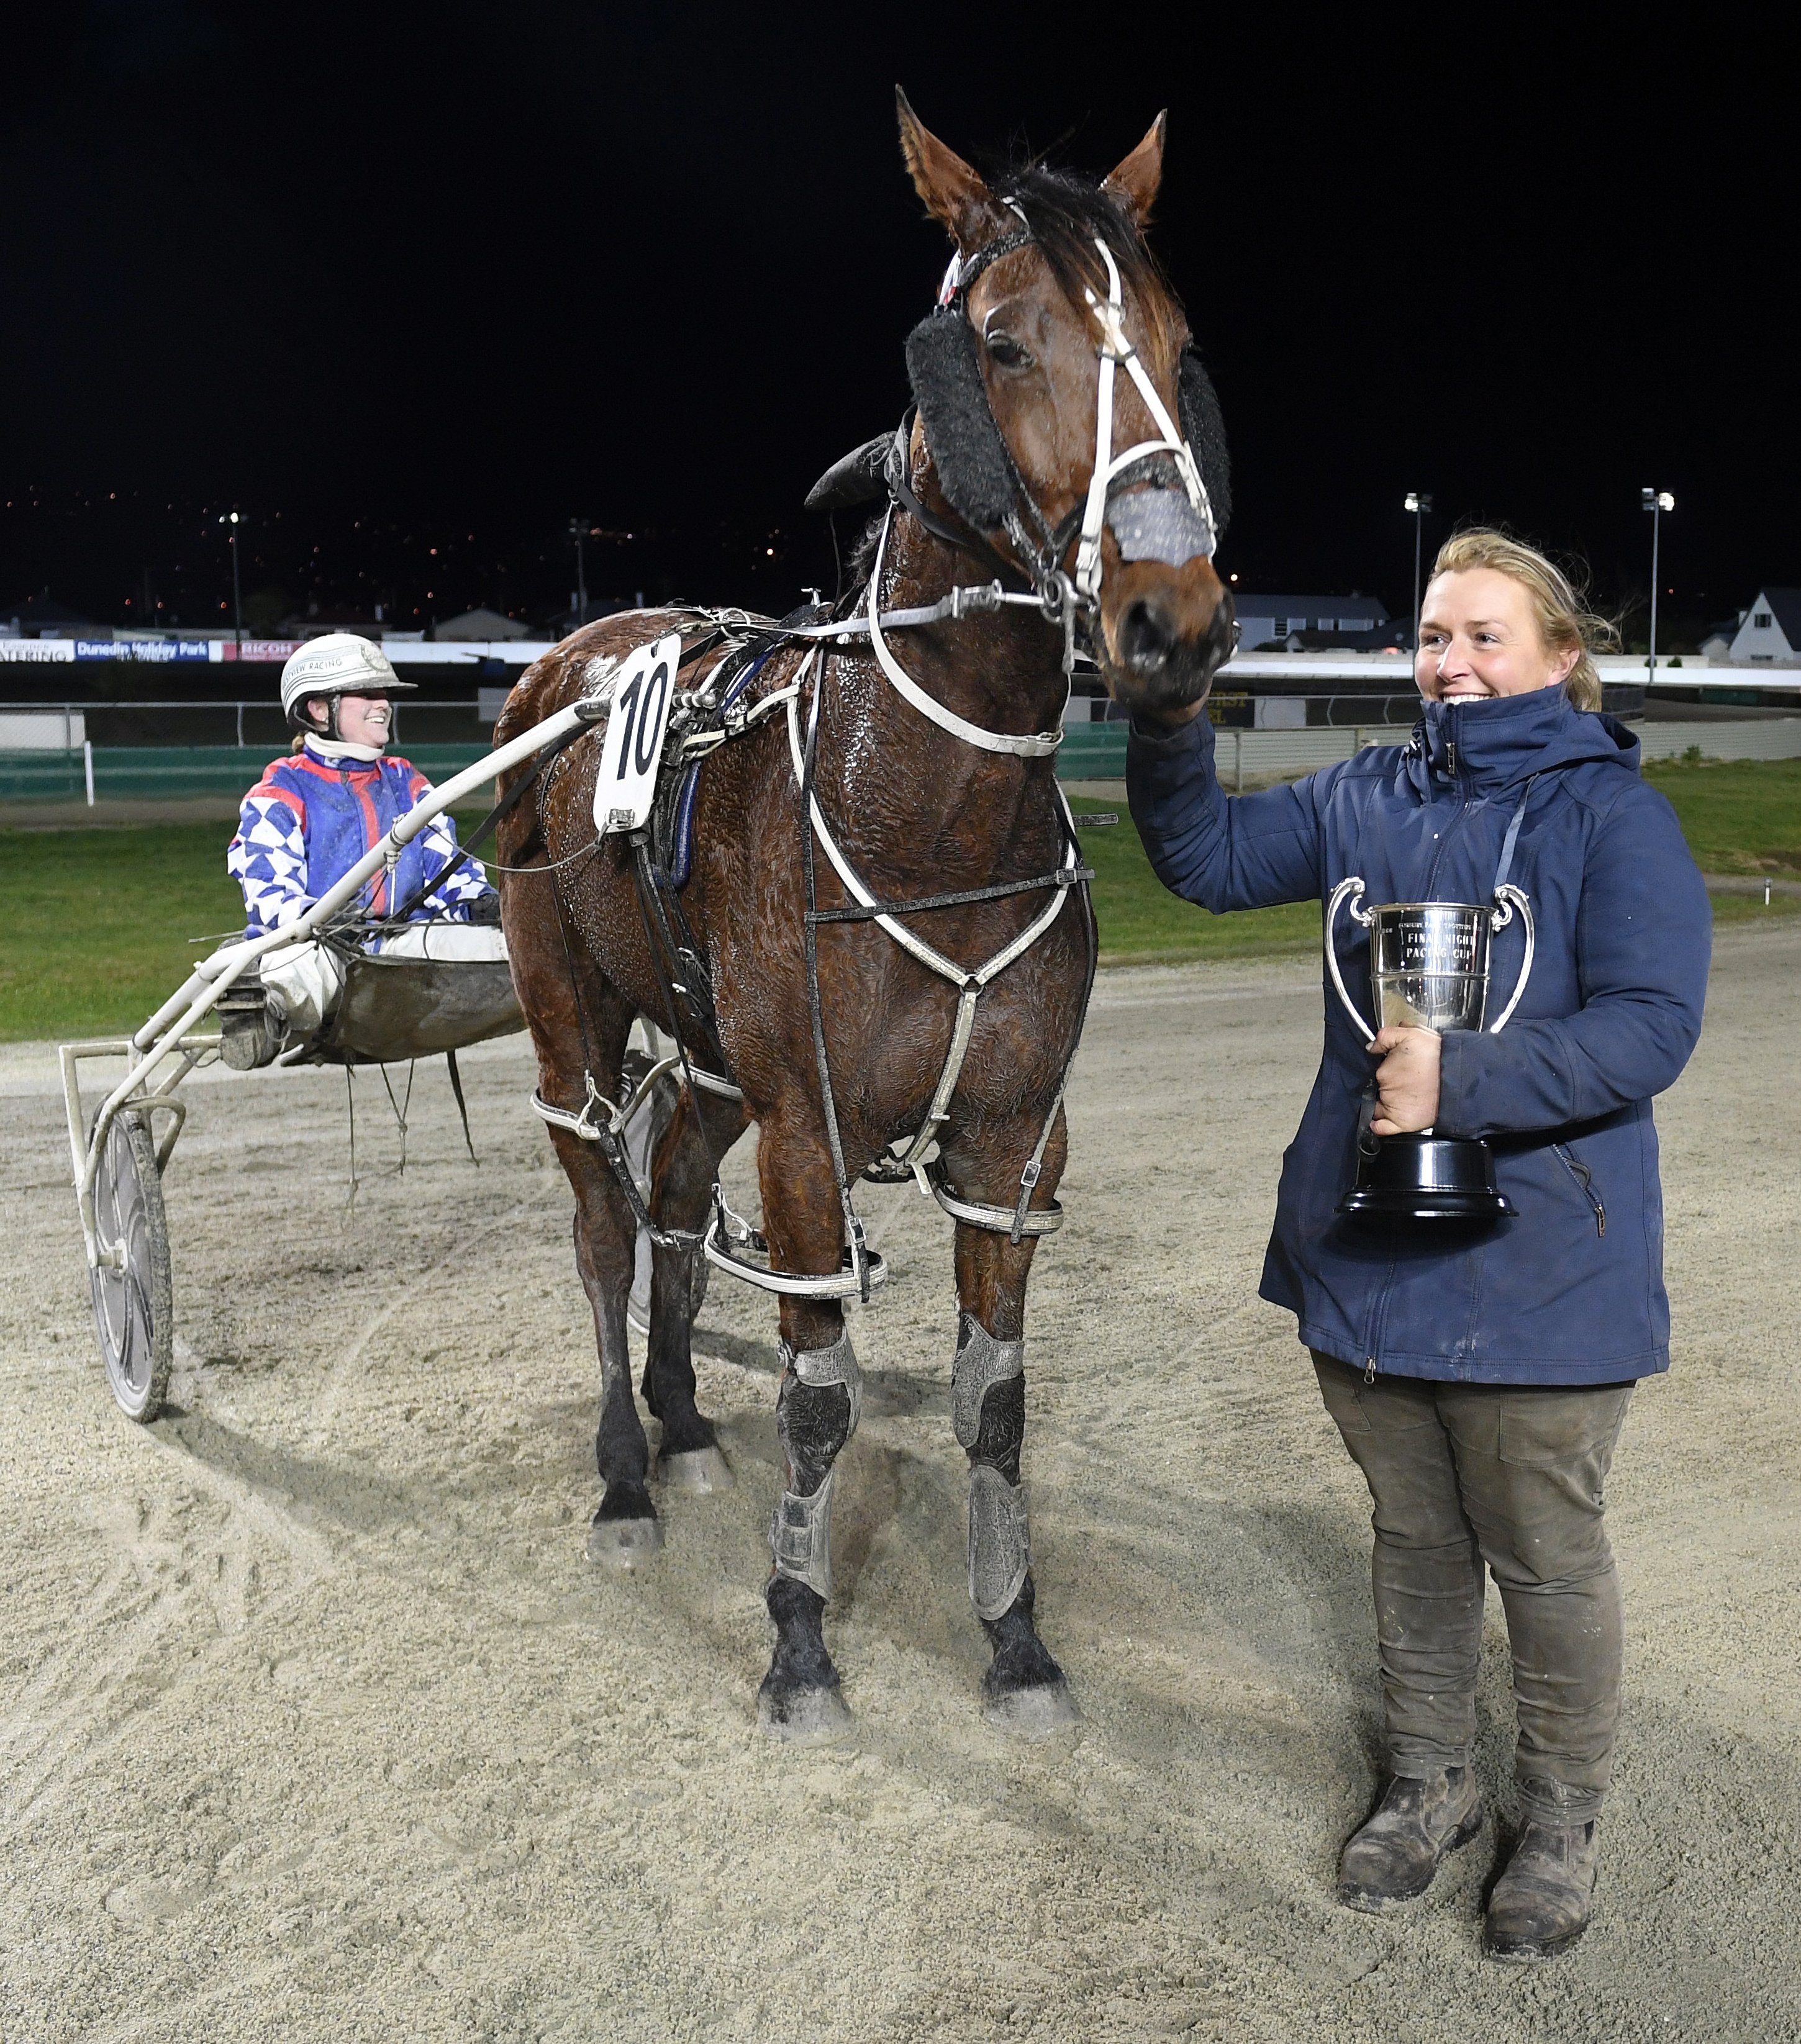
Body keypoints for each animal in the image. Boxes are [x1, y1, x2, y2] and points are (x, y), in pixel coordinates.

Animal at [492, 88, 1227, 1733]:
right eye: (1002, 341)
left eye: (1172, 337)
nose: (1172, 620)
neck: (923, 816)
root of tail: (580, 649)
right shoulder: (810, 1132)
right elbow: (820, 1397)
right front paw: (798, 1637)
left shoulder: (1011, 1137)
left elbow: (995, 1402)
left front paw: (1015, 1638)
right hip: (571, 1008)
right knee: (602, 1223)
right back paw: (625, 1476)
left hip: (711, 1058)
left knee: (674, 1196)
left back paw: (685, 1421)